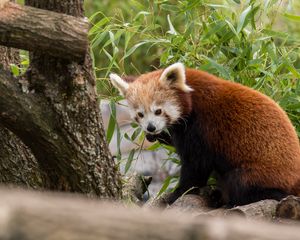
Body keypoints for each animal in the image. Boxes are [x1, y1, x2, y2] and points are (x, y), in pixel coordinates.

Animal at [109, 62, 300, 205]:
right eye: (140, 114)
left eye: (158, 111)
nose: (150, 128)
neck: (191, 97)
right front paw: (158, 136)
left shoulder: (202, 127)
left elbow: (196, 166)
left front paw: (177, 193)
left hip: (262, 171)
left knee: (241, 183)